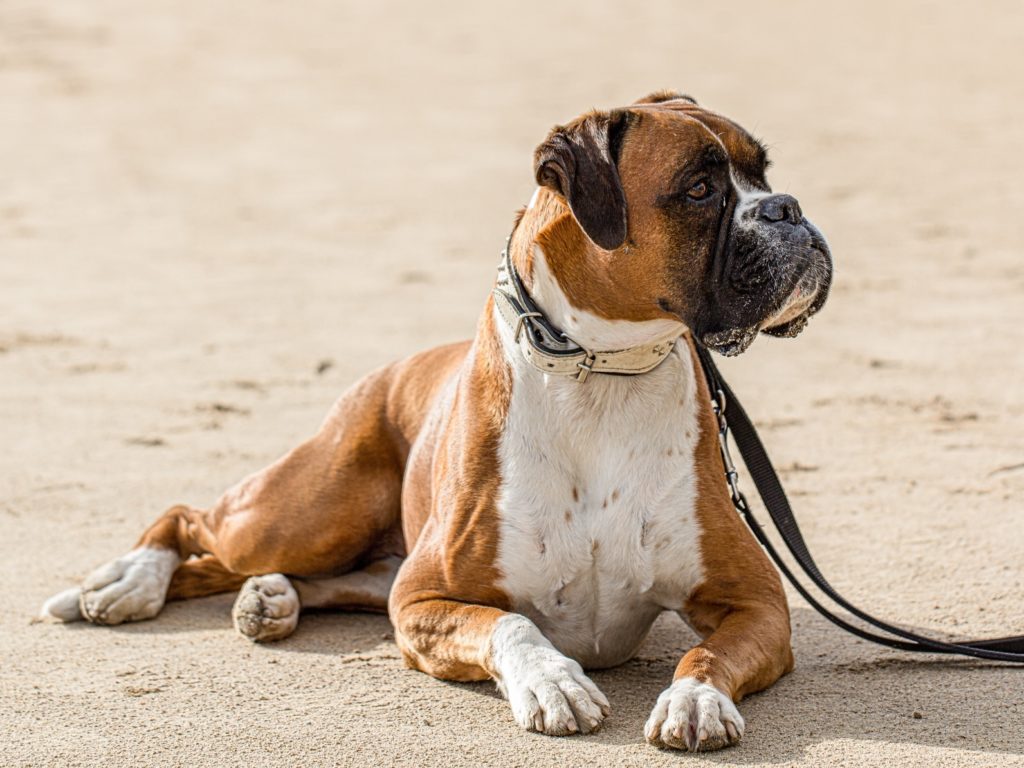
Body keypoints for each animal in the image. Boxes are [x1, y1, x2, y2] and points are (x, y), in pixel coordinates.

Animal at [44, 88, 835, 753]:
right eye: (699, 189)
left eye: (763, 172)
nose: (788, 209)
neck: (599, 369)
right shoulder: (427, 599)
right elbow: (512, 623)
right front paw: (554, 683)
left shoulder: (756, 604)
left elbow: (707, 651)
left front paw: (695, 700)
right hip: (302, 513)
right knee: (191, 518)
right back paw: (127, 582)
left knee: (337, 579)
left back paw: (270, 599)